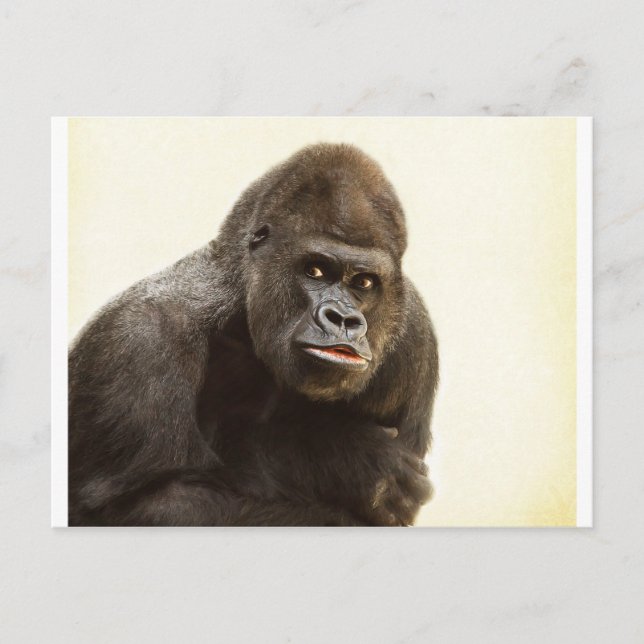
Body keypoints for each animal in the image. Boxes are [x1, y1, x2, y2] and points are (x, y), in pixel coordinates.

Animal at [68, 142, 439, 526]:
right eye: (315, 270)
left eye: (364, 283)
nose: (343, 319)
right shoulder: (139, 338)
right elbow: (138, 504)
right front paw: (342, 457)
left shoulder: (415, 337)